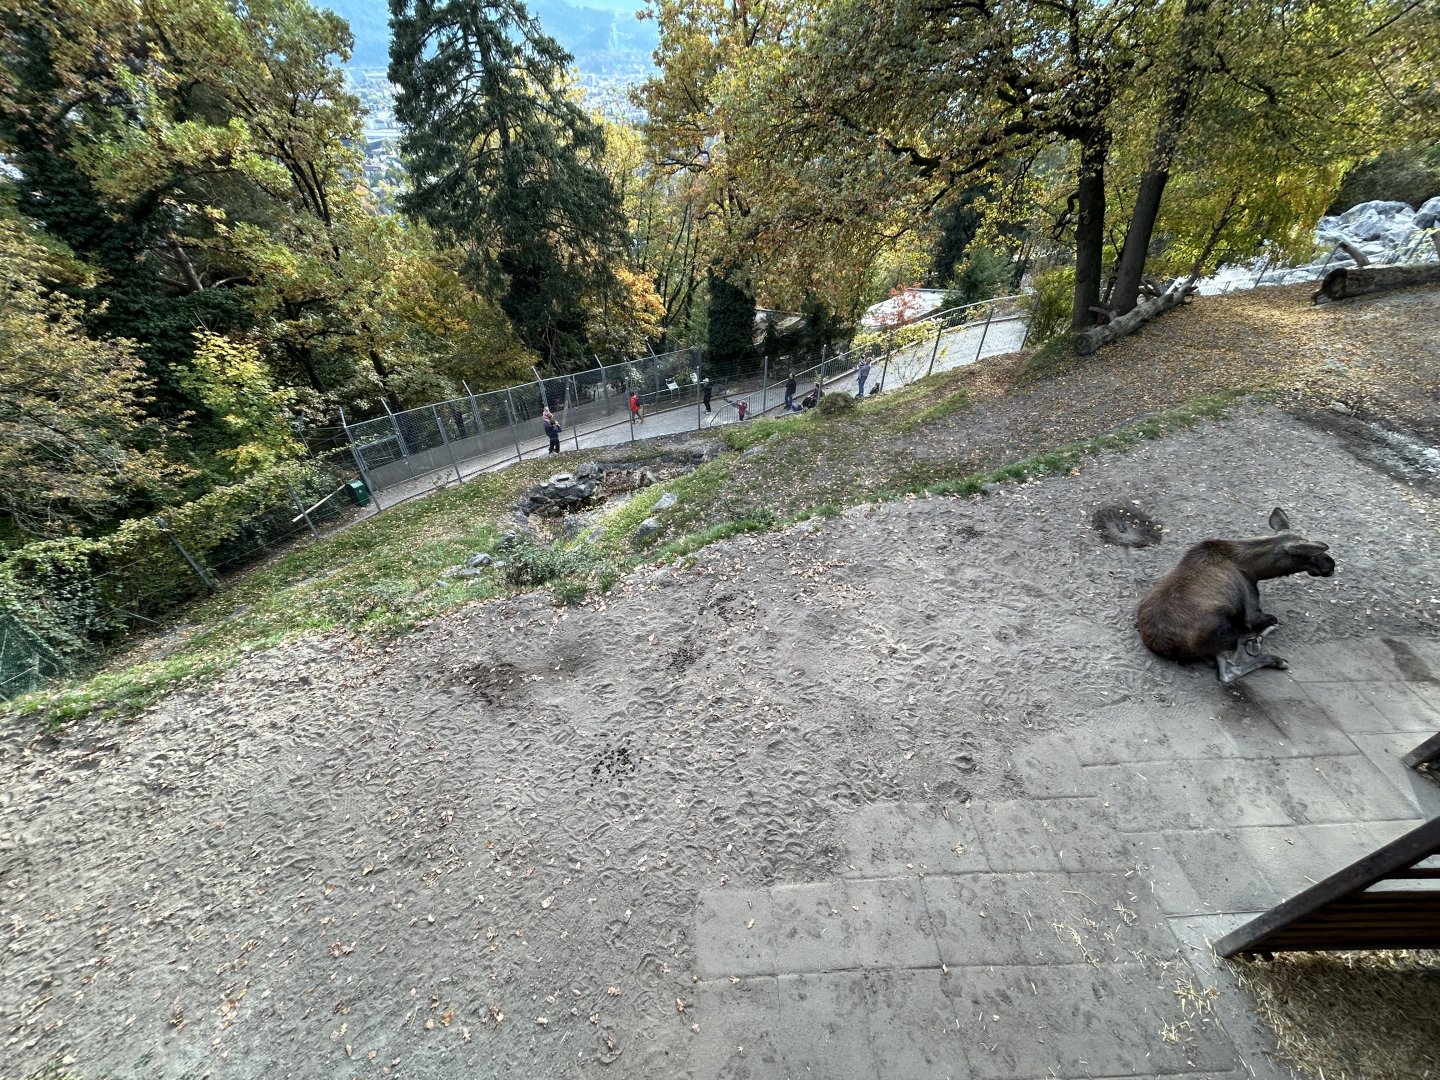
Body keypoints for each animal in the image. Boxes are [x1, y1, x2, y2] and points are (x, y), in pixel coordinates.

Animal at [1137, 508, 1335, 683]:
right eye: (1306, 555)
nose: (1330, 564)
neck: (1256, 570)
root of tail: (1163, 645)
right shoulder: (1251, 614)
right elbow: (1274, 621)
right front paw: (1256, 641)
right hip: (1227, 628)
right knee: (1228, 672)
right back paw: (1275, 660)